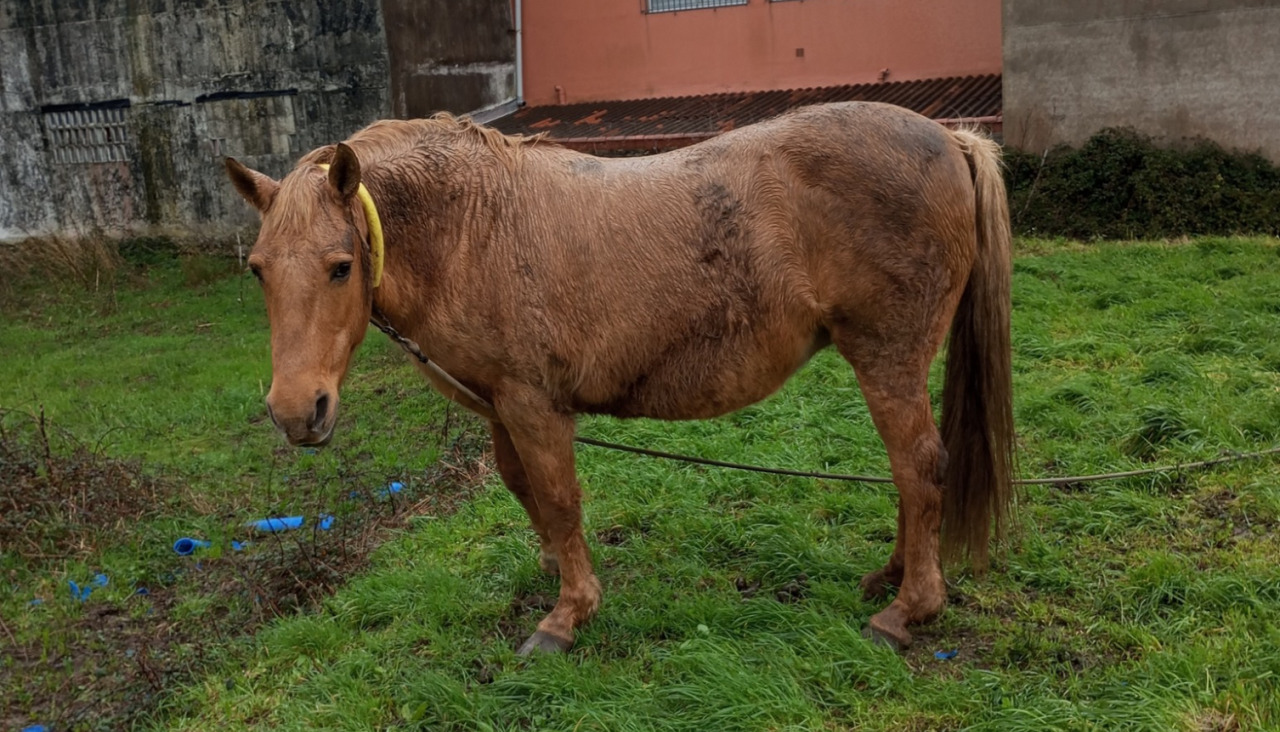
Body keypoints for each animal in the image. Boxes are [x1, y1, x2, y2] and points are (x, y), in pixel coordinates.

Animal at [225, 101, 1015, 654]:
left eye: (340, 267)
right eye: (257, 271)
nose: (296, 411)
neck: (472, 225)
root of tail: (952, 140)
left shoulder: (533, 403)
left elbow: (559, 498)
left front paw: (568, 615)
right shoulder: (500, 406)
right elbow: (522, 488)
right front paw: (554, 570)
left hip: (887, 357)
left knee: (918, 468)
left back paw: (907, 609)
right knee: (910, 474)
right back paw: (892, 577)